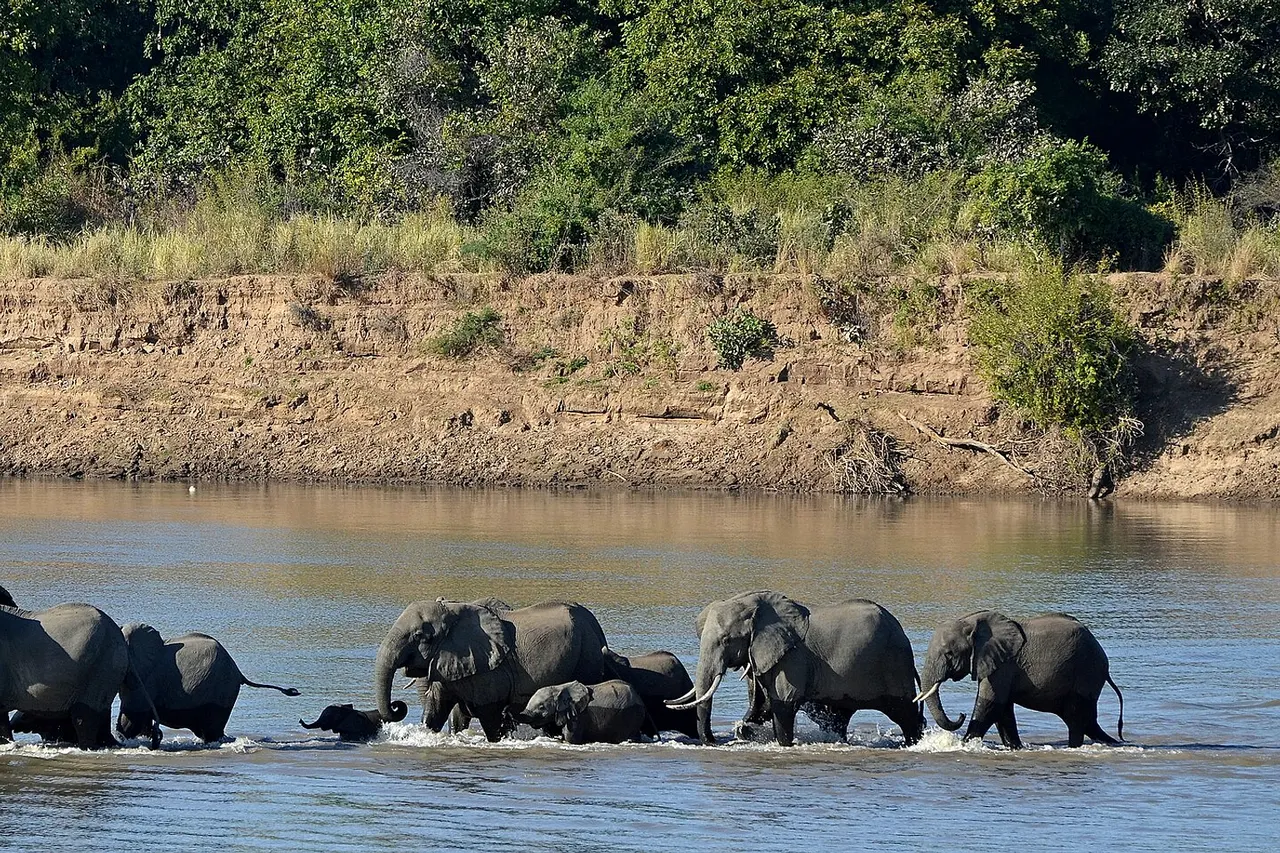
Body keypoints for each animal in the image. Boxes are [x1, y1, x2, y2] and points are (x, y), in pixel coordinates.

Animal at [374, 599, 610, 742]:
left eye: (420, 636)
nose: (396, 706)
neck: (453, 612)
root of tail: (595, 625)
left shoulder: (490, 672)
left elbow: (490, 715)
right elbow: (436, 709)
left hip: (587, 656)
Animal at [670, 591, 923, 746]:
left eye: (726, 640)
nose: (713, 741)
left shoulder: (792, 658)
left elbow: (782, 704)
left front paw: (782, 744)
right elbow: (762, 705)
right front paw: (744, 729)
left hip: (895, 663)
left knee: (906, 713)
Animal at [915, 611, 1124, 749]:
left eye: (949, 654)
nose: (961, 714)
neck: (970, 621)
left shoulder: (1004, 665)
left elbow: (991, 704)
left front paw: (963, 745)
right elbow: (1003, 710)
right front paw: (1014, 748)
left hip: (1086, 673)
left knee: (1076, 719)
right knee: (1087, 721)